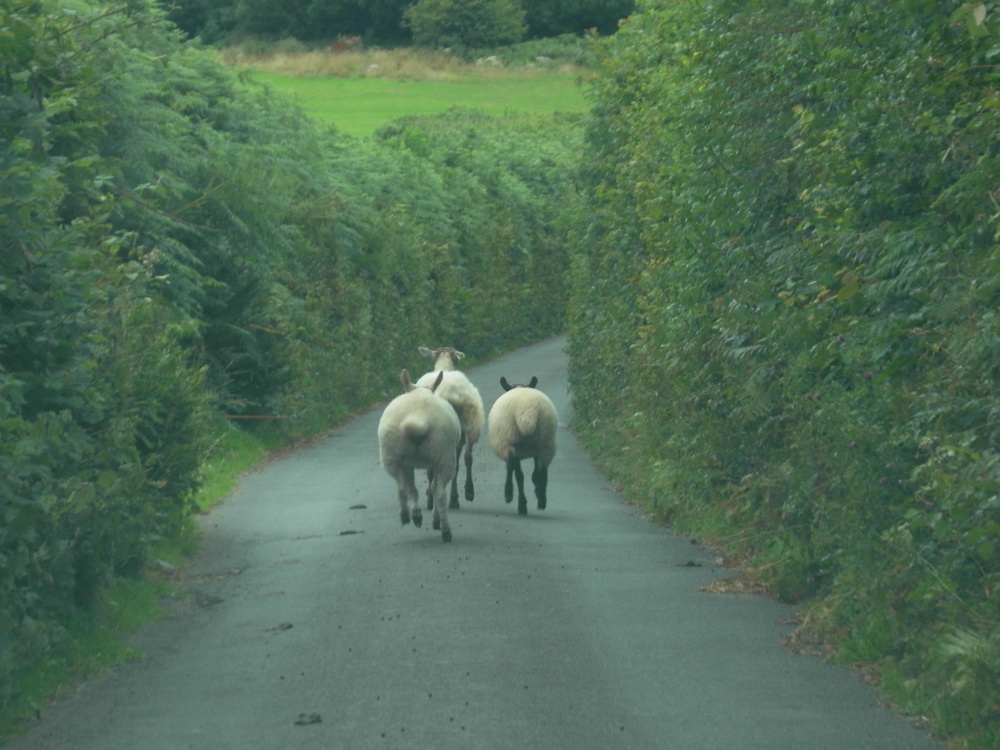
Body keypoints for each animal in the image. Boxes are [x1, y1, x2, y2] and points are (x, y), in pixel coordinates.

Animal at [377, 369, 462, 542]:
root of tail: (418, 421)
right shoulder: (426, 463)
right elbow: (430, 488)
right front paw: (431, 519)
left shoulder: (409, 463)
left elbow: (413, 488)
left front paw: (417, 514)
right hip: (444, 456)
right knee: (440, 493)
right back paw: (444, 529)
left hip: (392, 457)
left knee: (402, 487)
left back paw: (408, 516)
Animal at [416, 346, 486, 509]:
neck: (444, 366)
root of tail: (452, 394)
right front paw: (454, 498)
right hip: (471, 423)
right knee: (468, 457)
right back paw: (467, 492)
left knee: (433, 467)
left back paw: (432, 498)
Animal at [487, 376, 558, 515]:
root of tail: (527, 412)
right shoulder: (535, 450)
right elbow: (535, 474)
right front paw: (537, 488)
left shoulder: (518, 450)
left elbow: (519, 474)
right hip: (546, 441)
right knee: (543, 471)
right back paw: (542, 500)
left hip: (509, 440)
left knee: (512, 467)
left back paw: (511, 496)